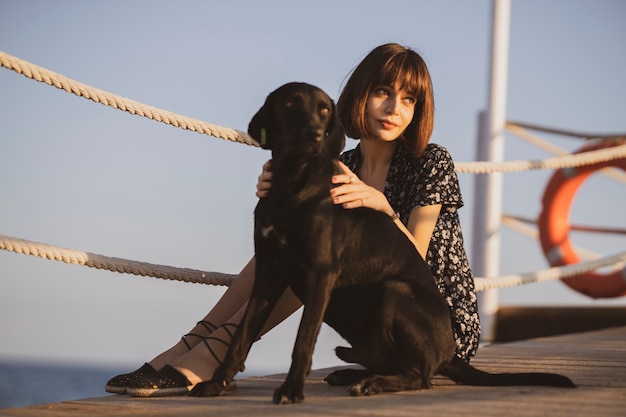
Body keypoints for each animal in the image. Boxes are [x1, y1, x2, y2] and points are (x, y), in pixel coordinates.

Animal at [189, 82, 572, 404]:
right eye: (289, 103)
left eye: (324, 109)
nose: (314, 134)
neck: (292, 182)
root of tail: (449, 352)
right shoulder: (270, 271)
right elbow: (241, 336)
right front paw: (215, 383)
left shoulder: (319, 273)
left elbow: (303, 339)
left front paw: (291, 390)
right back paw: (352, 374)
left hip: (393, 291)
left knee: (421, 376)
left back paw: (371, 383)